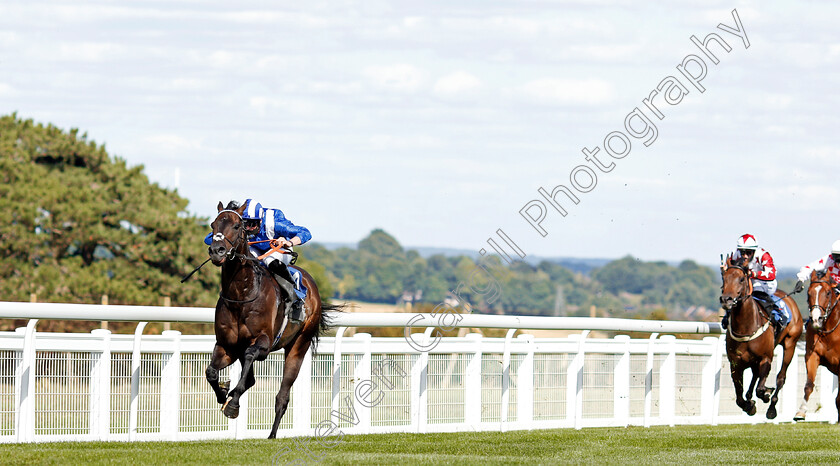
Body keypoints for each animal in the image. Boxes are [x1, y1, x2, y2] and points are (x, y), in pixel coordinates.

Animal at [203, 200, 334, 436]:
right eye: (213, 225)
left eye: (237, 226)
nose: (217, 251)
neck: (242, 295)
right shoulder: (227, 345)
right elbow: (211, 372)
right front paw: (224, 394)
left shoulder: (263, 343)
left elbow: (249, 357)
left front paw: (232, 404)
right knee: (250, 379)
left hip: (299, 345)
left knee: (282, 396)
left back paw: (272, 435)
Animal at [720, 255, 804, 418]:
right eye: (724, 277)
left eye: (741, 279)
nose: (726, 299)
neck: (746, 327)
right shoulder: (735, 363)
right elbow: (739, 396)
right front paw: (749, 405)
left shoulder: (766, 358)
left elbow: (760, 389)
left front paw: (765, 394)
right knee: (755, 375)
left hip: (790, 344)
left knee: (780, 378)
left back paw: (772, 407)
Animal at [796, 270, 840, 422]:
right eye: (809, 293)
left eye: (828, 293)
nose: (816, 319)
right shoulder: (812, 355)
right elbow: (809, 385)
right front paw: (801, 412)